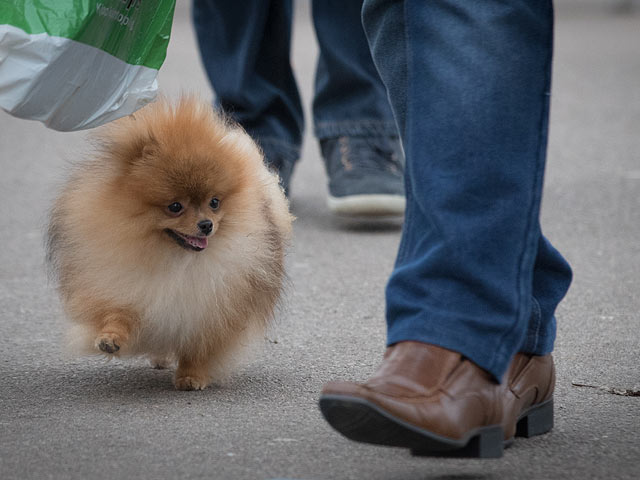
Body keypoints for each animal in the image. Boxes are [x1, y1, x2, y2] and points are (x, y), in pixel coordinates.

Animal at [47, 97, 292, 390]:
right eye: (175, 207)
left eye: (214, 202)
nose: (206, 225)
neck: (174, 259)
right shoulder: (123, 285)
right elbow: (117, 314)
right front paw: (110, 338)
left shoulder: (212, 310)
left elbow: (199, 347)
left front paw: (191, 375)